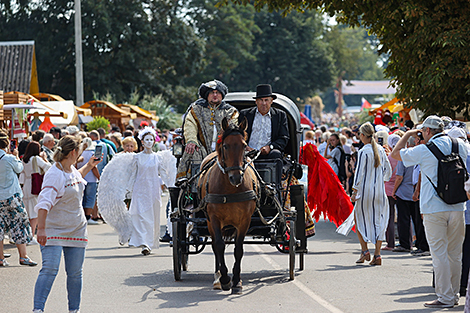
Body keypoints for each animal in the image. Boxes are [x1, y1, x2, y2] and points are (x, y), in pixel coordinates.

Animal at [197, 116, 258, 292]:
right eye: (226, 145)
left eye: (243, 145)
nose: (236, 177)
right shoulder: (214, 218)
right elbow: (219, 245)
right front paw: (225, 279)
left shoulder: (244, 220)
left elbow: (238, 249)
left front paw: (237, 281)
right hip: (209, 221)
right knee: (215, 245)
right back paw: (218, 277)